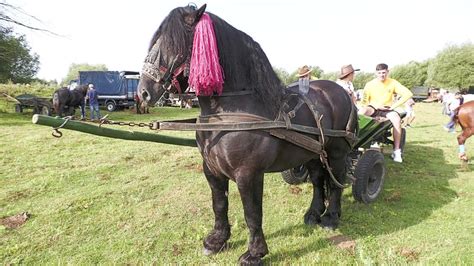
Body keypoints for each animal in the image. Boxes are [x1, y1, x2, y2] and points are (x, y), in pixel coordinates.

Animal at [139, 4, 358, 264]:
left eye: (174, 43)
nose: (143, 92)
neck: (230, 113)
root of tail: (342, 92)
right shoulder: (211, 169)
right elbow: (219, 203)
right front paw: (216, 241)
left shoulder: (248, 173)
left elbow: (252, 212)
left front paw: (254, 253)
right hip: (312, 153)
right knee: (317, 180)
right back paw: (313, 214)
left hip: (336, 152)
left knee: (335, 182)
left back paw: (331, 218)